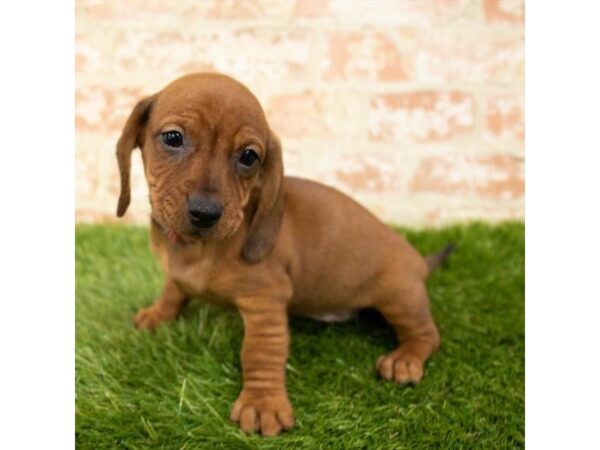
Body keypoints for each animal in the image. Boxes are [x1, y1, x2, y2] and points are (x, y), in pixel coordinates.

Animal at [115, 73, 452, 436]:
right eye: (173, 138)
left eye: (249, 157)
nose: (205, 213)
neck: (194, 248)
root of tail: (418, 261)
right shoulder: (179, 277)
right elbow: (173, 291)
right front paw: (157, 314)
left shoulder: (266, 301)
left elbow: (259, 352)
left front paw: (263, 404)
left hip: (399, 296)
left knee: (427, 334)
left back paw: (405, 358)